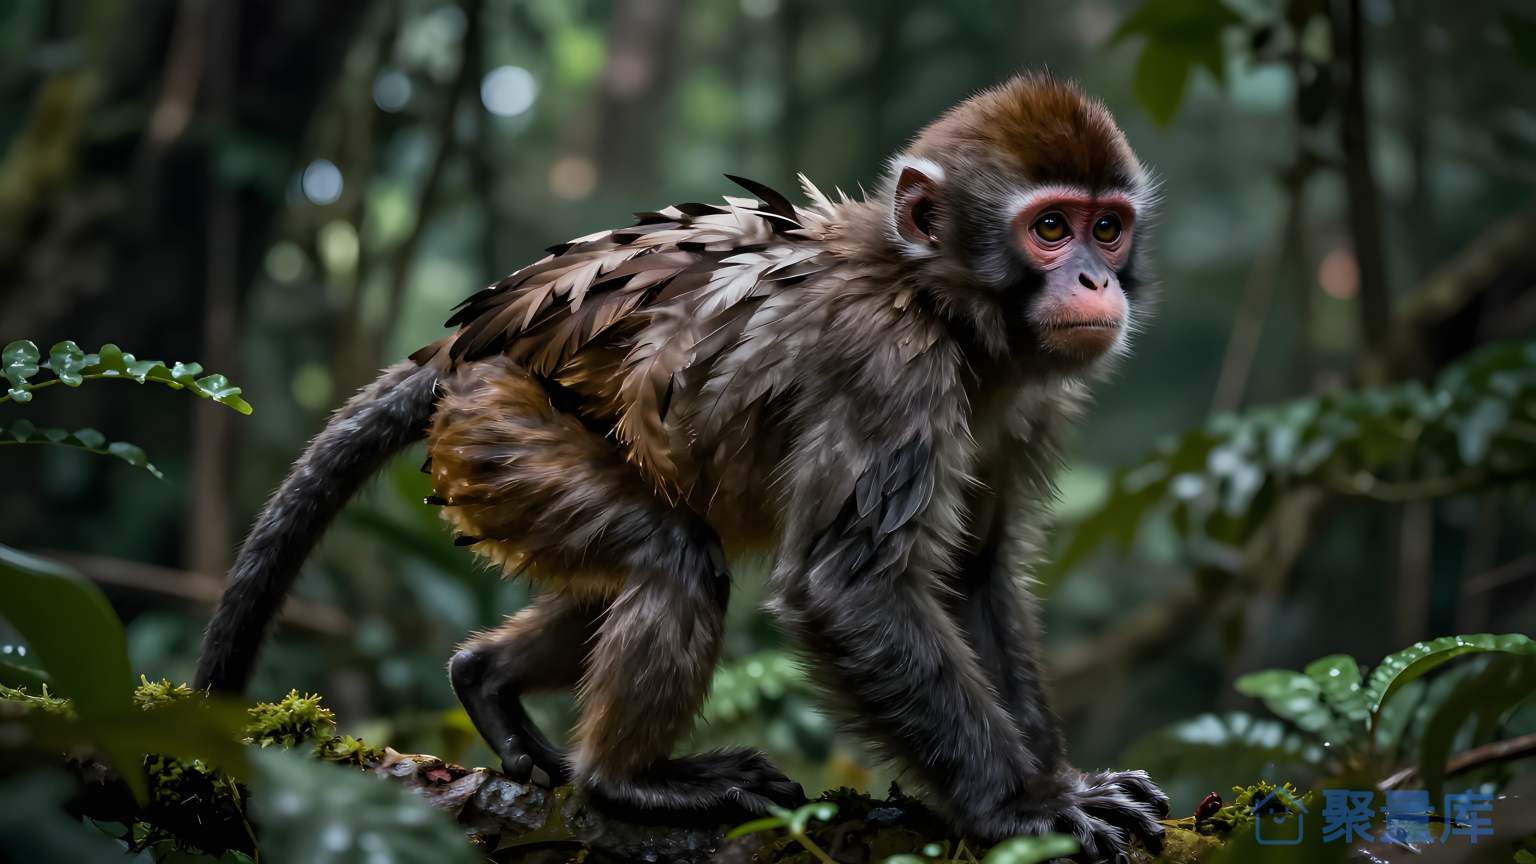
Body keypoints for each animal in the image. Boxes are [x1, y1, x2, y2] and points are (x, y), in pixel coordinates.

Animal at [195, 73, 1169, 860]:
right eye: (1051, 229)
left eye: (1108, 229)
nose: (1096, 283)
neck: (940, 303)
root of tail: (464, 349)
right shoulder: (886, 364)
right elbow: (849, 588)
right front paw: (1026, 809)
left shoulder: (1031, 398)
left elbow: (972, 570)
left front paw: (1065, 781)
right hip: (496, 432)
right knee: (673, 556)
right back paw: (626, 780)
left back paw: (487, 678)